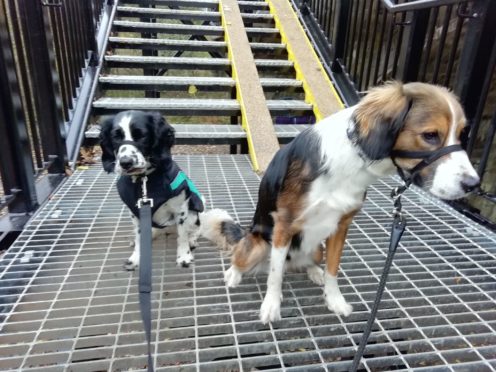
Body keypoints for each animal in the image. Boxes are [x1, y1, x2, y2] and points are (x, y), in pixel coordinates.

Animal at [99, 109, 203, 268]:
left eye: (141, 135)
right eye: (116, 137)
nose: (125, 162)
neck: (144, 180)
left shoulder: (180, 209)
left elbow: (182, 236)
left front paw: (184, 256)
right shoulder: (135, 212)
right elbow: (139, 237)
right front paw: (136, 257)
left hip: (193, 214)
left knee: (194, 229)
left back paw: (192, 239)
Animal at [201, 82, 480, 322]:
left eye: (461, 134)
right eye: (430, 135)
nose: (473, 184)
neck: (351, 161)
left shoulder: (341, 225)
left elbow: (333, 269)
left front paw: (334, 300)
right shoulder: (284, 225)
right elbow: (275, 275)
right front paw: (271, 305)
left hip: (316, 247)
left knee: (309, 260)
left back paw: (314, 271)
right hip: (258, 244)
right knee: (245, 257)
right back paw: (234, 274)